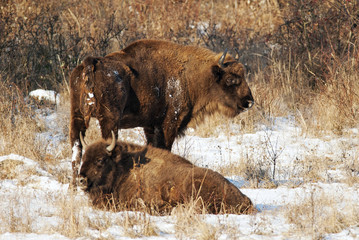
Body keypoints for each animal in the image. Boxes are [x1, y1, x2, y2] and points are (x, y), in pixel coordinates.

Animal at [80, 132, 258, 215]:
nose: (81, 179)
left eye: (100, 159)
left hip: (193, 184)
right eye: (83, 157)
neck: (124, 168)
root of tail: (245, 200)